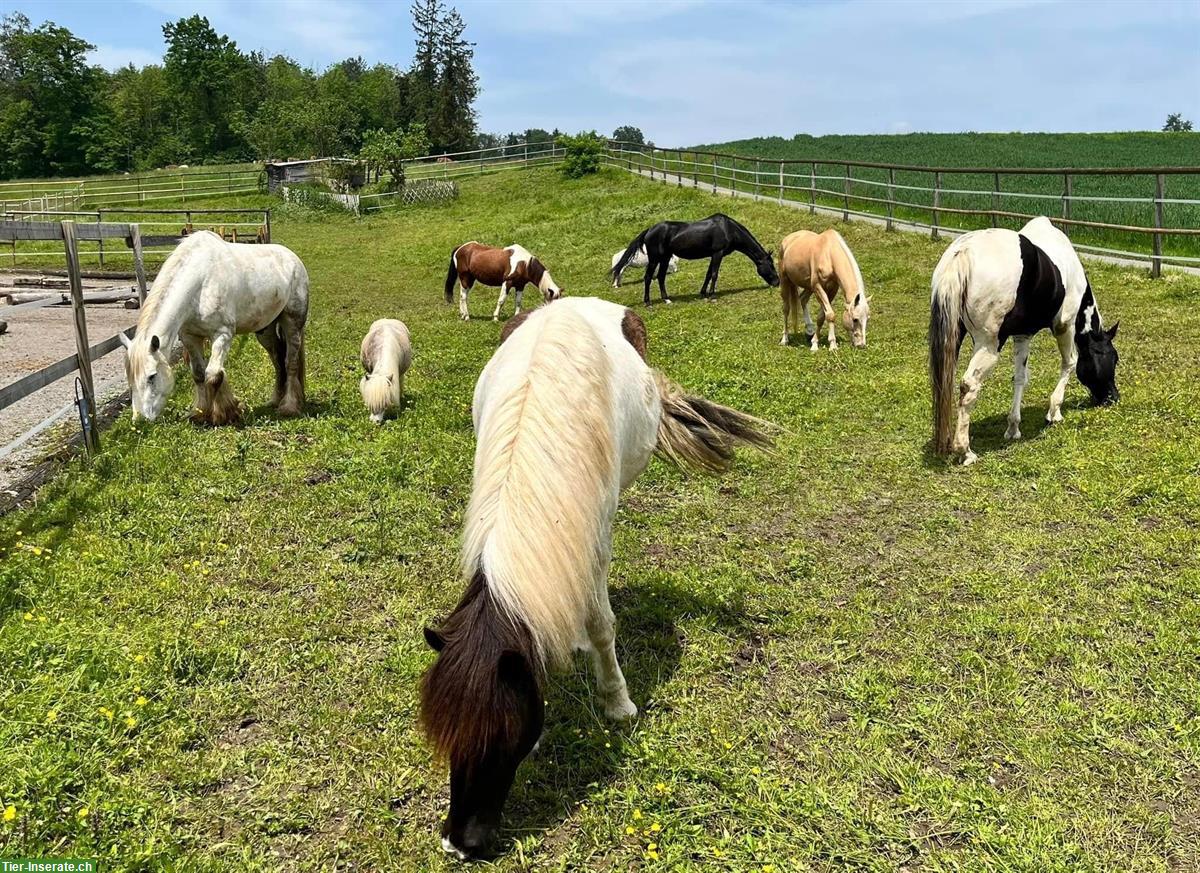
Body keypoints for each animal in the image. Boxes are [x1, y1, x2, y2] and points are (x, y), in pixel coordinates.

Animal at [120, 230, 309, 424]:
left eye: (152, 376)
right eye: (130, 378)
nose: (140, 419)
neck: (200, 282)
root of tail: (293, 259)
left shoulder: (222, 335)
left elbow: (213, 374)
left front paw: (223, 414)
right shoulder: (190, 337)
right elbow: (199, 374)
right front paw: (200, 413)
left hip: (293, 323)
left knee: (290, 362)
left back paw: (289, 407)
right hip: (265, 330)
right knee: (278, 360)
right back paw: (275, 400)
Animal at [417, 294, 772, 858]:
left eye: (502, 738)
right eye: (446, 738)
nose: (461, 843)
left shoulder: (595, 530)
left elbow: (604, 624)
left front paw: (618, 703)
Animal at [614, 213, 782, 305]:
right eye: (772, 265)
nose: (777, 282)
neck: (728, 229)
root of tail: (649, 230)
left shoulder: (714, 255)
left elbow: (708, 274)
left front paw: (703, 293)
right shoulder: (718, 253)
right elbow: (714, 274)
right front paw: (712, 295)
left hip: (665, 258)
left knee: (661, 277)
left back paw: (666, 299)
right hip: (655, 259)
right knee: (648, 277)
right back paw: (648, 302)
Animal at [931, 215, 1118, 467]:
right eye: (1113, 359)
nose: (1113, 398)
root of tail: (963, 252)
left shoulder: (1023, 335)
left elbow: (1020, 378)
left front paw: (1013, 427)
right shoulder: (1064, 325)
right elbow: (1070, 363)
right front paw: (1054, 412)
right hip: (988, 345)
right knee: (969, 385)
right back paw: (965, 451)